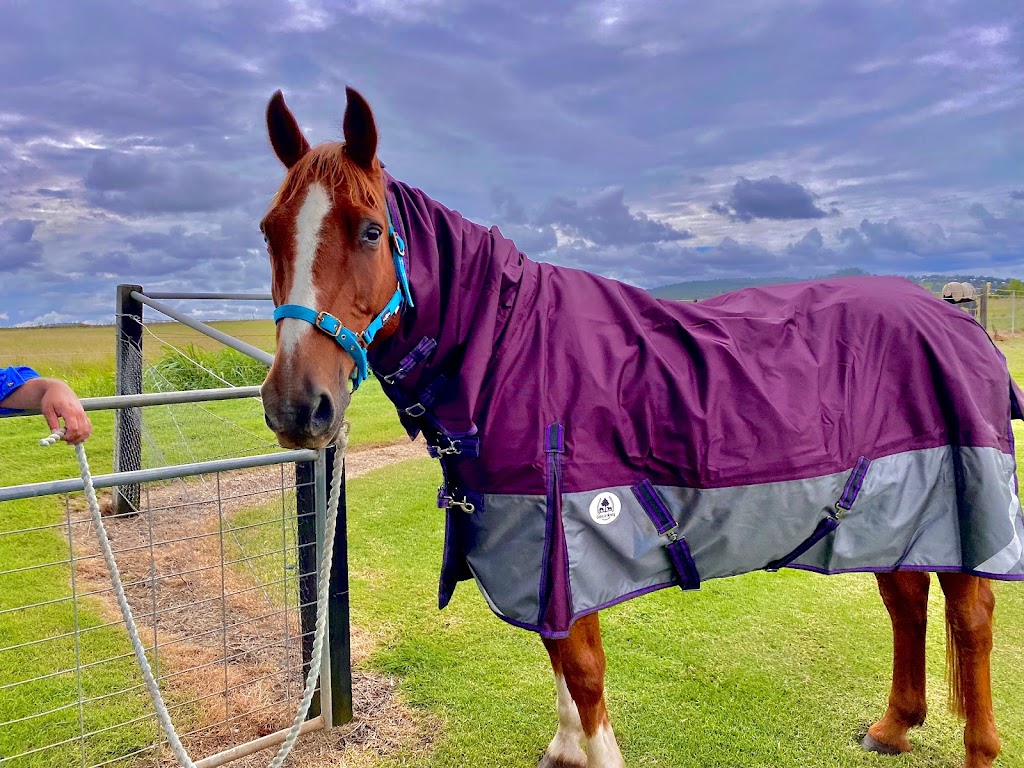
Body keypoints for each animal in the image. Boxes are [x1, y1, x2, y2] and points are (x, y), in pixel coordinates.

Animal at [258, 87, 1023, 768]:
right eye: (270, 232)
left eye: (370, 230)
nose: (296, 406)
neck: (513, 349)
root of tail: (958, 319)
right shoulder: (542, 556)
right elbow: (559, 660)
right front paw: (566, 750)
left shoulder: (566, 544)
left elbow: (583, 669)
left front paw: (588, 754)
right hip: (893, 511)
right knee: (905, 598)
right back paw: (893, 727)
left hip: (961, 506)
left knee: (972, 619)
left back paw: (978, 750)